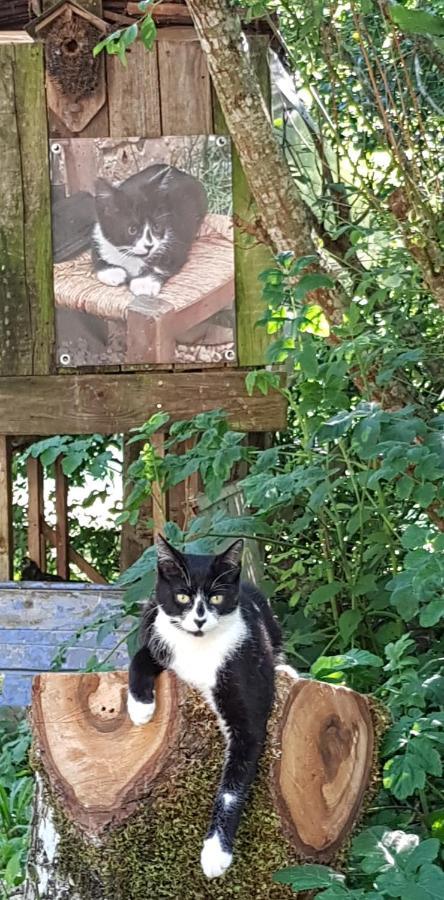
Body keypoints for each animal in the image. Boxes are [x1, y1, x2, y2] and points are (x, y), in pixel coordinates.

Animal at [91, 163, 208, 298]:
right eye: (132, 230)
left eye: (156, 226)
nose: (149, 246)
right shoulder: (97, 234)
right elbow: (96, 254)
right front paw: (111, 271)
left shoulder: (177, 239)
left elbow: (165, 263)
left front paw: (144, 283)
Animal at [126, 536, 286, 880]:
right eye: (183, 596)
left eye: (216, 596)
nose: (199, 619)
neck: (198, 649)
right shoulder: (160, 638)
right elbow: (142, 656)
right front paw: (140, 707)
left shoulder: (246, 695)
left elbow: (232, 786)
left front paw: (215, 852)